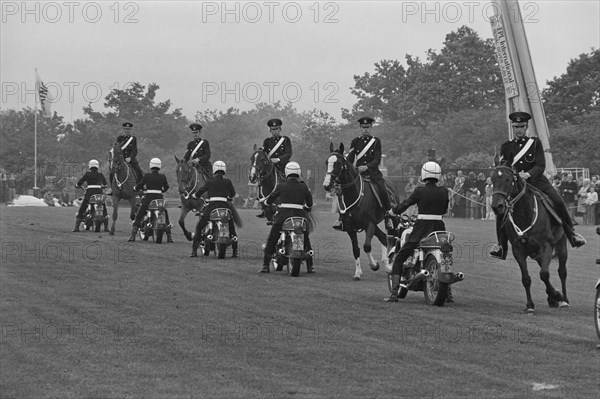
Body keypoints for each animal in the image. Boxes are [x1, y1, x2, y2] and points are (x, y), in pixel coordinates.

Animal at [322, 144, 400, 282]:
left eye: (338, 163)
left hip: (391, 222)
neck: (354, 194)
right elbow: (356, 249)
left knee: (393, 238)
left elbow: (366, 246)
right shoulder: (350, 228)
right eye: (327, 162)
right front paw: (358, 273)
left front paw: (374, 265)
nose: (327, 185)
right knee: (383, 238)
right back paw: (386, 262)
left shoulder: (369, 225)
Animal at [490, 166, 568, 312]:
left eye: (508, 179)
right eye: (492, 179)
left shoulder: (546, 247)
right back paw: (552, 299)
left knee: (562, 272)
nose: (496, 206)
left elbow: (544, 274)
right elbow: (526, 279)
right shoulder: (518, 251)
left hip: (561, 245)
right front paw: (530, 305)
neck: (525, 214)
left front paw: (557, 295)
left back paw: (564, 299)